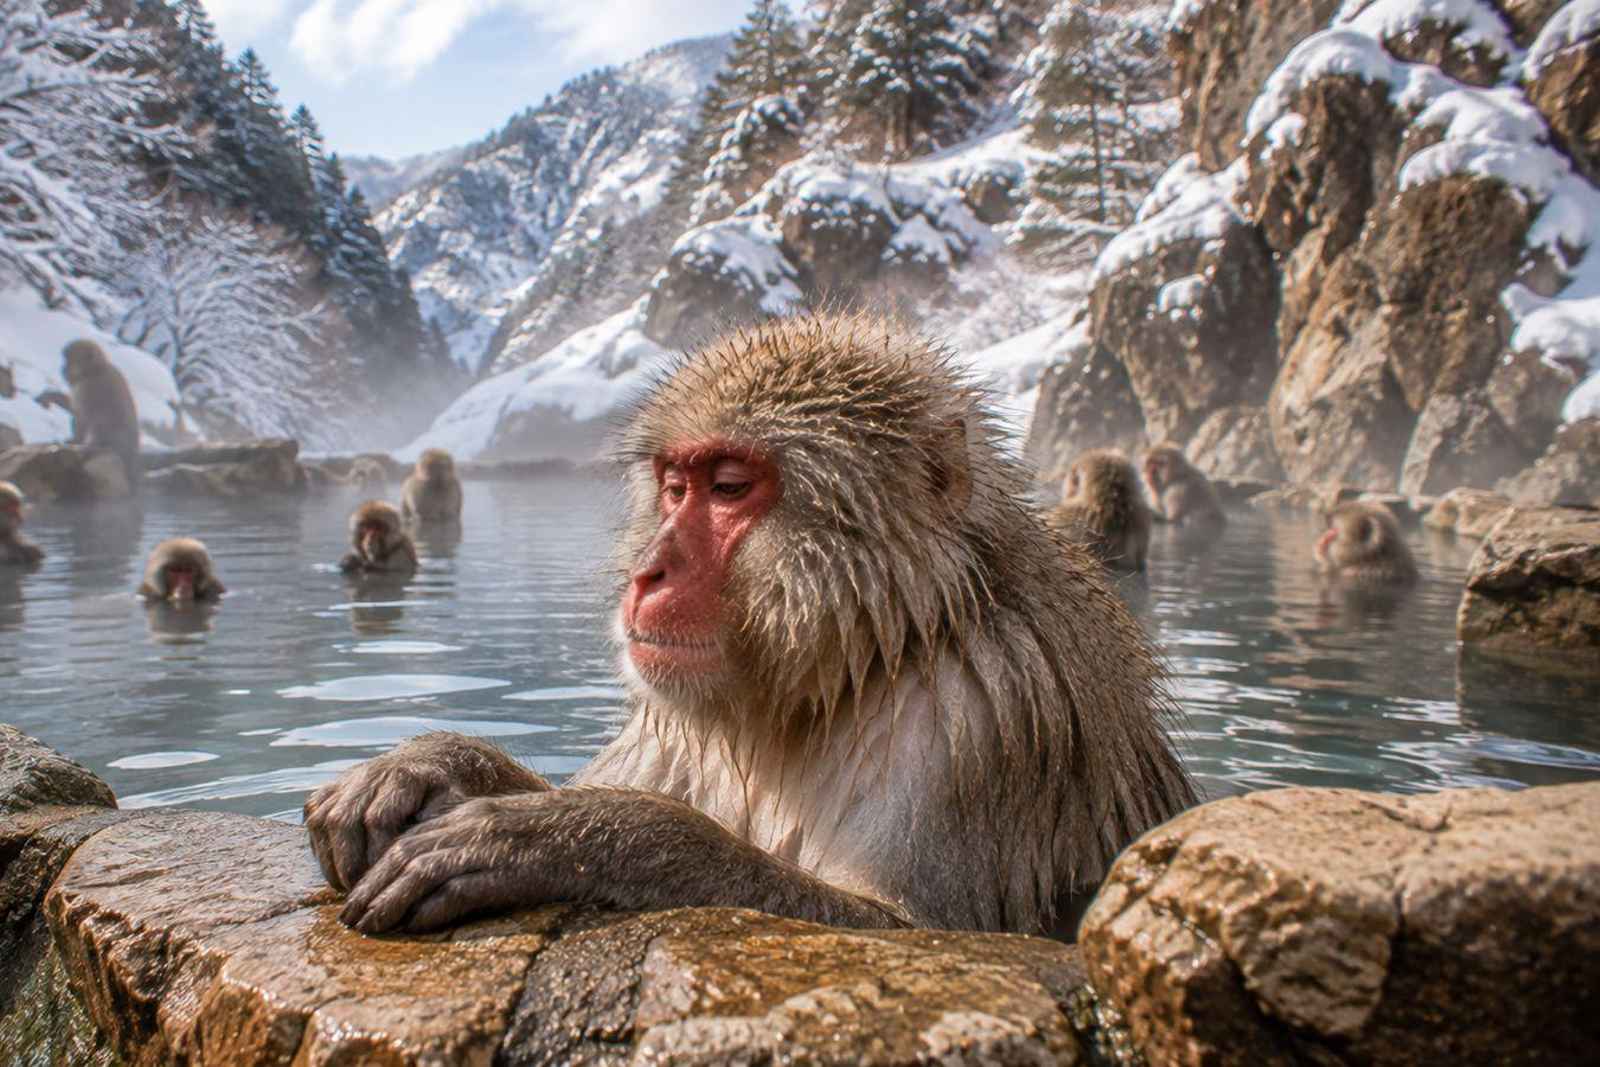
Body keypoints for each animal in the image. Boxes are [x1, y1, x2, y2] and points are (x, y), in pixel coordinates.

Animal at [61, 340, 140, 486]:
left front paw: (75, 440)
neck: (94, 370)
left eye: (69, 359)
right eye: (65, 359)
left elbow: (84, 418)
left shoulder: (87, 390)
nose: (63, 368)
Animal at [305, 314, 1196, 938]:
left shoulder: (984, 720)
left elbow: (917, 930)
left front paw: (561, 836)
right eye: (673, 485)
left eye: (729, 486)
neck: (880, 648)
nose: (647, 571)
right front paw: (429, 763)